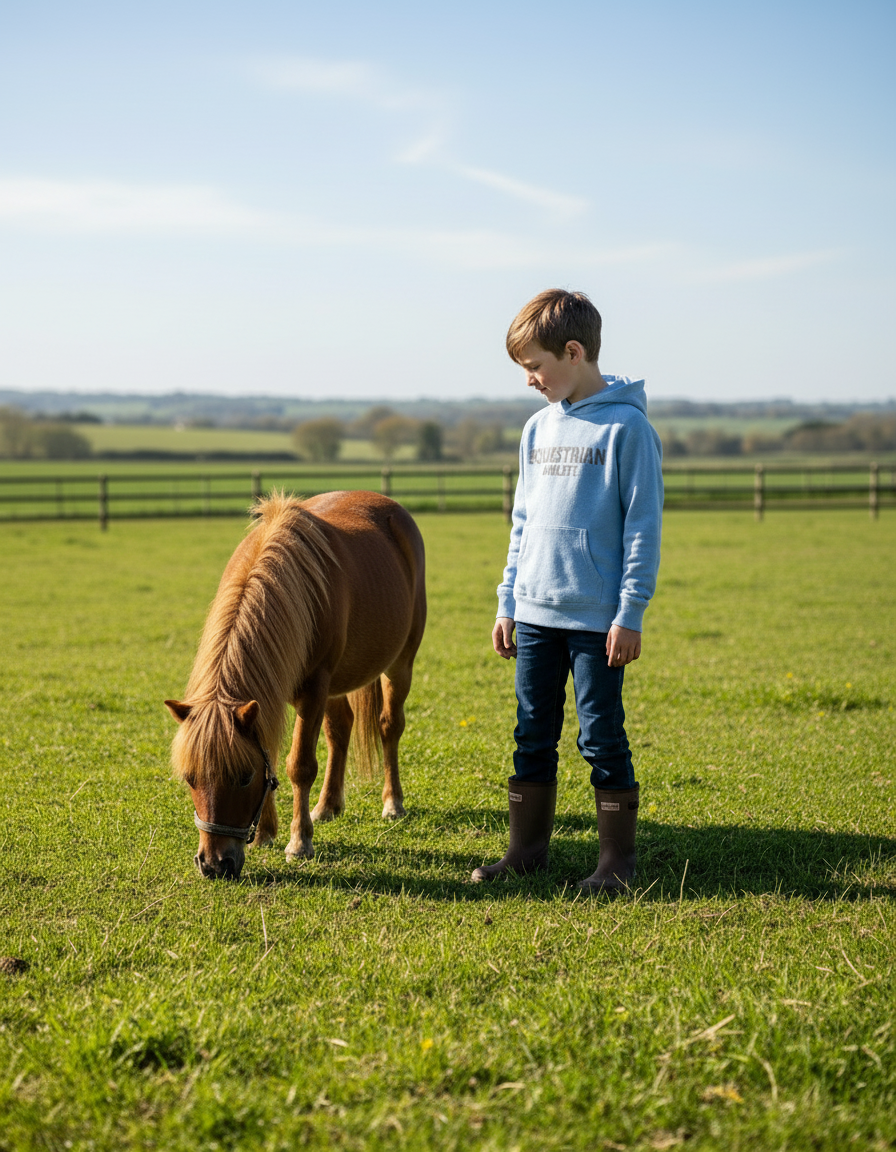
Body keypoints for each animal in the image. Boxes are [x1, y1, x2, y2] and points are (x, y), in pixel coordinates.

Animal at [165, 490, 426, 879]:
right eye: (189, 778)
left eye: (244, 777)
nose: (214, 865)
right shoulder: (271, 699)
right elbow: (273, 755)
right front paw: (266, 833)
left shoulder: (314, 689)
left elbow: (299, 765)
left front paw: (299, 841)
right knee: (341, 730)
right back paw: (328, 806)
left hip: (399, 664)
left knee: (389, 726)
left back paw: (392, 802)